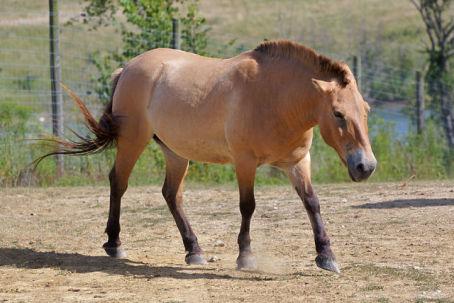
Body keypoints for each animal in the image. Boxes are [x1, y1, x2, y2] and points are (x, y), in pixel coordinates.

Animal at [39, 39, 376, 274]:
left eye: (366, 110)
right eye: (338, 114)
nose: (366, 166)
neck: (275, 98)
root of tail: (129, 68)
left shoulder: (297, 163)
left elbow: (312, 204)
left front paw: (326, 256)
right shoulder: (245, 162)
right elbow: (248, 206)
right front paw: (245, 257)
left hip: (175, 152)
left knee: (171, 195)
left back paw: (194, 250)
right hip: (132, 140)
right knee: (118, 183)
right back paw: (114, 244)